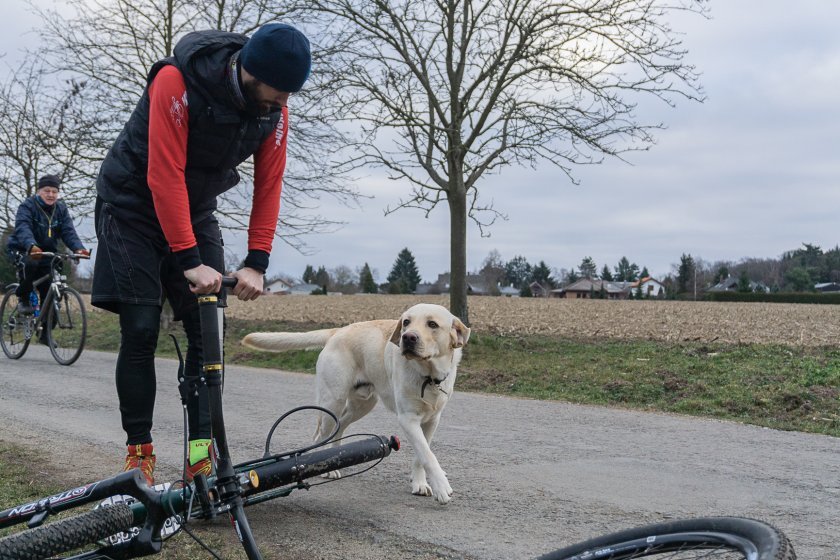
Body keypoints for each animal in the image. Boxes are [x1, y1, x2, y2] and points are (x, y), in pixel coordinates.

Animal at [241, 304, 472, 506]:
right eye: (406, 322)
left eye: (432, 324)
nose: (407, 337)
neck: (428, 375)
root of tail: (338, 331)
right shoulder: (408, 419)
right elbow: (427, 455)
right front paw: (442, 488)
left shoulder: (432, 419)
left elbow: (422, 455)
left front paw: (419, 483)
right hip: (332, 402)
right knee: (319, 436)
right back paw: (324, 467)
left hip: (362, 405)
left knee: (340, 427)